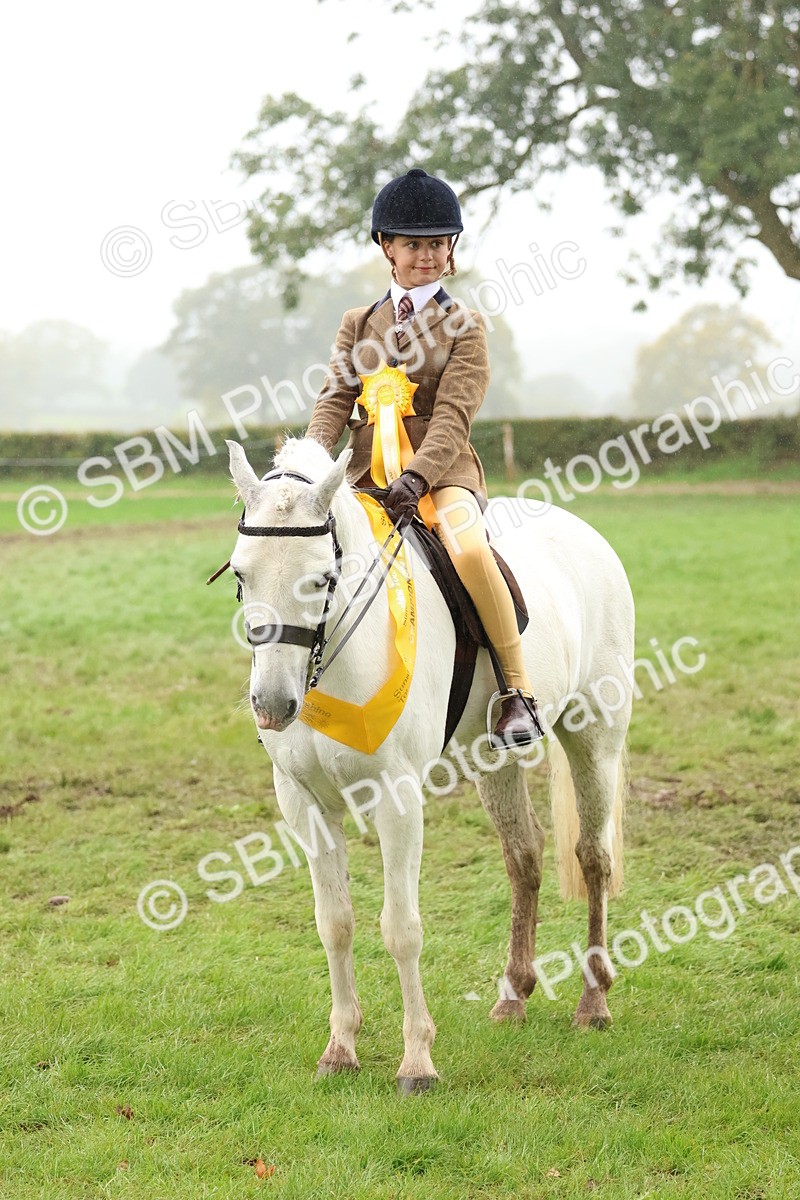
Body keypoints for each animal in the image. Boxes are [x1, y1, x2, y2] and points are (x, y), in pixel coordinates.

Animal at [224, 436, 635, 1093]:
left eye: (322, 578)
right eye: (242, 573)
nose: (272, 705)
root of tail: (583, 533)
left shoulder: (397, 799)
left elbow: (401, 927)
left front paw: (417, 1061)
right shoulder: (304, 803)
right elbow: (334, 922)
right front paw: (340, 1049)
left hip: (595, 734)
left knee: (592, 858)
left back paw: (592, 1003)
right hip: (493, 759)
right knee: (524, 855)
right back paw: (513, 996)